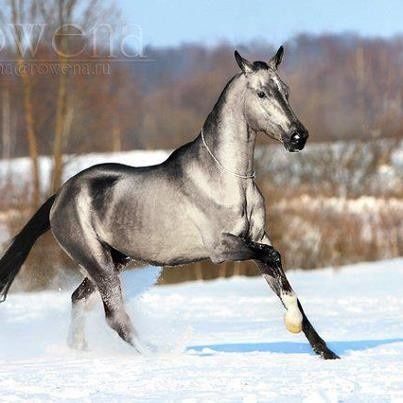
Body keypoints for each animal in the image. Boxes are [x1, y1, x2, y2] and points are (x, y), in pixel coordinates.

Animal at [0, 46, 340, 360]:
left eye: (286, 91)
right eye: (261, 93)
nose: (298, 137)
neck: (226, 178)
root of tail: (61, 195)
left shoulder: (256, 239)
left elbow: (284, 282)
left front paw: (326, 352)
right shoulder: (222, 248)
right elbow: (275, 257)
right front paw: (297, 325)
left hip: (113, 259)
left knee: (78, 299)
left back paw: (79, 351)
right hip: (98, 262)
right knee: (115, 316)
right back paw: (154, 354)